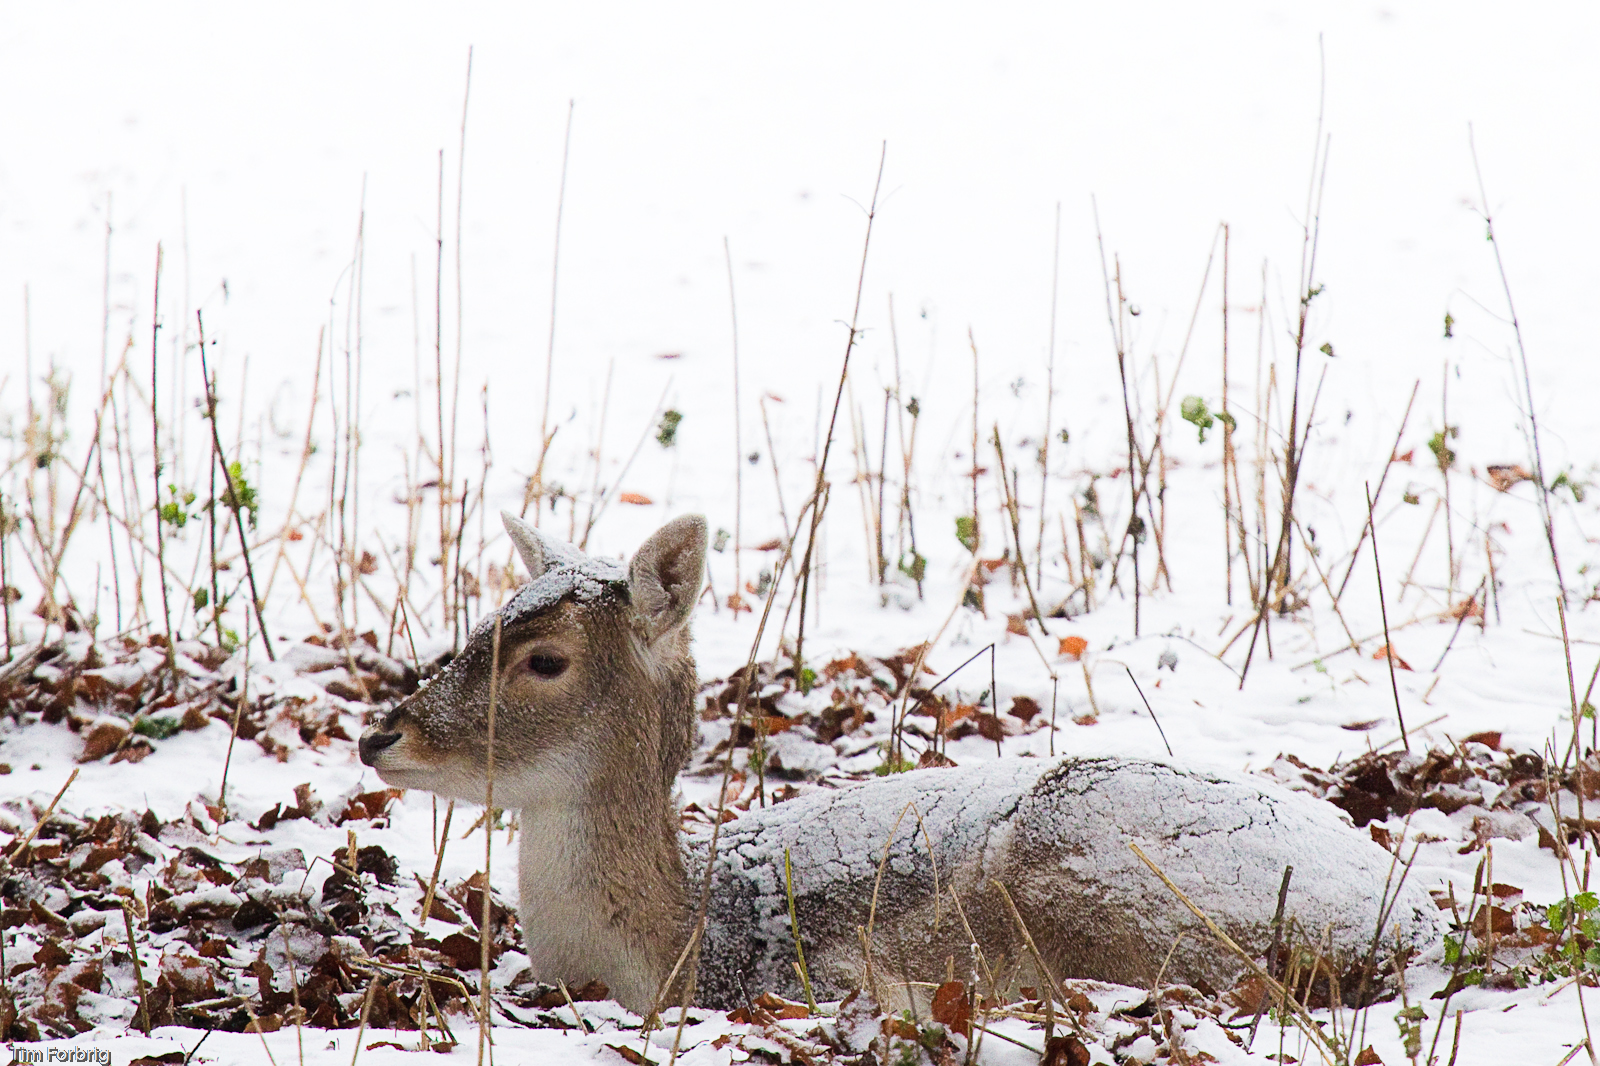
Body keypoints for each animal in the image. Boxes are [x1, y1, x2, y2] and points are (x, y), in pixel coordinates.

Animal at [360, 512, 1440, 1011]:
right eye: (477, 624)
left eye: (545, 658)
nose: (383, 735)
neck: (688, 945)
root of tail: (1417, 927)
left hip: (1104, 878)